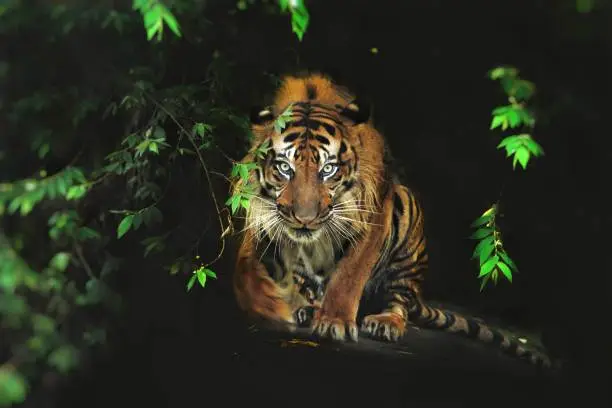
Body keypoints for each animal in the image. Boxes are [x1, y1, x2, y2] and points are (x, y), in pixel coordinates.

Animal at [231, 71, 556, 368]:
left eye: (328, 170)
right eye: (285, 168)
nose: (305, 220)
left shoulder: (377, 210)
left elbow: (349, 274)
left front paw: (334, 322)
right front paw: (308, 307)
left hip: (406, 225)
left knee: (400, 301)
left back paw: (385, 321)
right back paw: (309, 307)